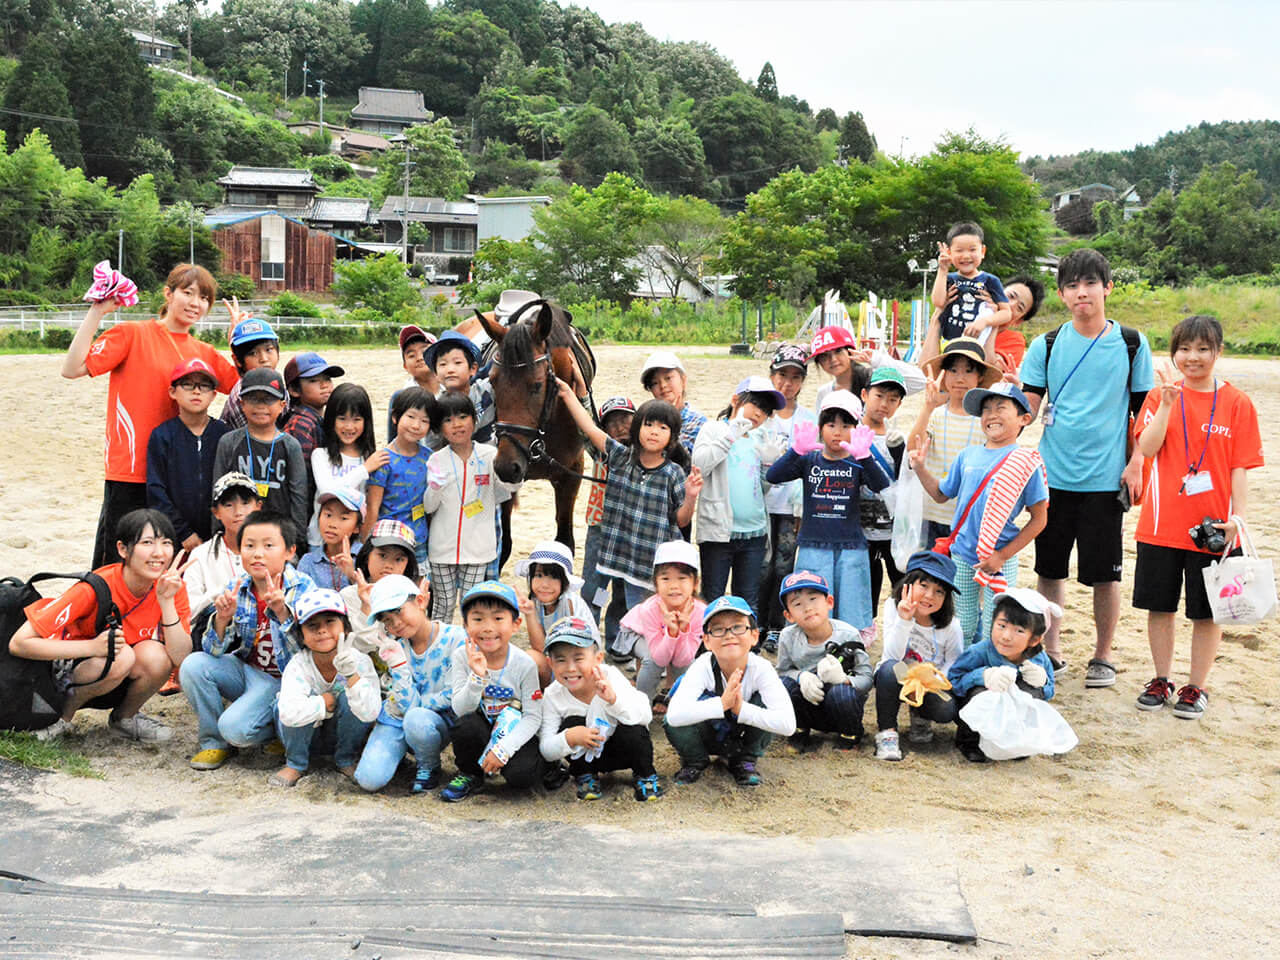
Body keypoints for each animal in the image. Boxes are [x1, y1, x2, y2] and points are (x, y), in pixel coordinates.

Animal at [478, 300, 596, 570]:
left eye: (538, 384)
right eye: (493, 381)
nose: (506, 466)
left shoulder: (570, 475)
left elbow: (564, 544)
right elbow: (503, 546)